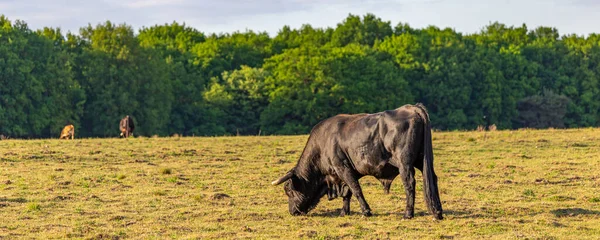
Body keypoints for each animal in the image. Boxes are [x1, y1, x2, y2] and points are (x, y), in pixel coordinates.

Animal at [270, 103, 440, 219]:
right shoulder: (347, 172)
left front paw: (366, 211)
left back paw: (408, 213)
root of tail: (411, 108)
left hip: (405, 164)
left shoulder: (342, 167)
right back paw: (437, 211)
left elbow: (355, 188)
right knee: (432, 179)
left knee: (409, 183)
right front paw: (344, 212)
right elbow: (348, 192)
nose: (292, 211)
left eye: (289, 190)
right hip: (423, 160)